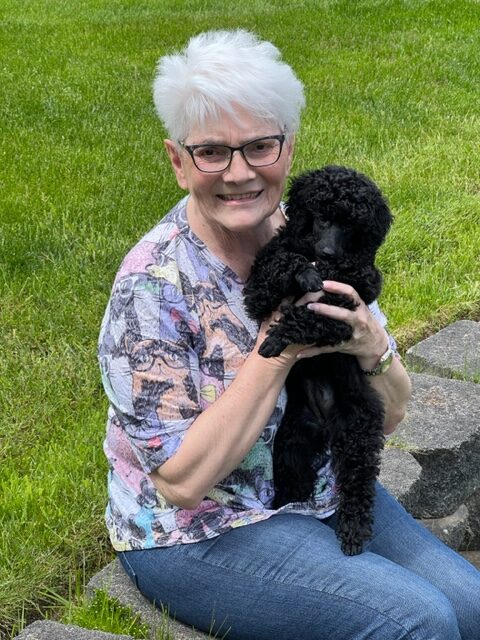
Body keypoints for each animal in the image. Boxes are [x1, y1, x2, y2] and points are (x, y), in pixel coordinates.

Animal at [244, 165, 394, 556]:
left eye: (352, 224)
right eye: (323, 216)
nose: (326, 252)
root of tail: (326, 426)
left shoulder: (350, 304)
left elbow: (310, 314)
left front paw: (278, 337)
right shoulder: (259, 286)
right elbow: (283, 263)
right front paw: (305, 272)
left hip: (358, 430)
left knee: (358, 483)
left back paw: (353, 532)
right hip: (292, 442)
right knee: (294, 483)